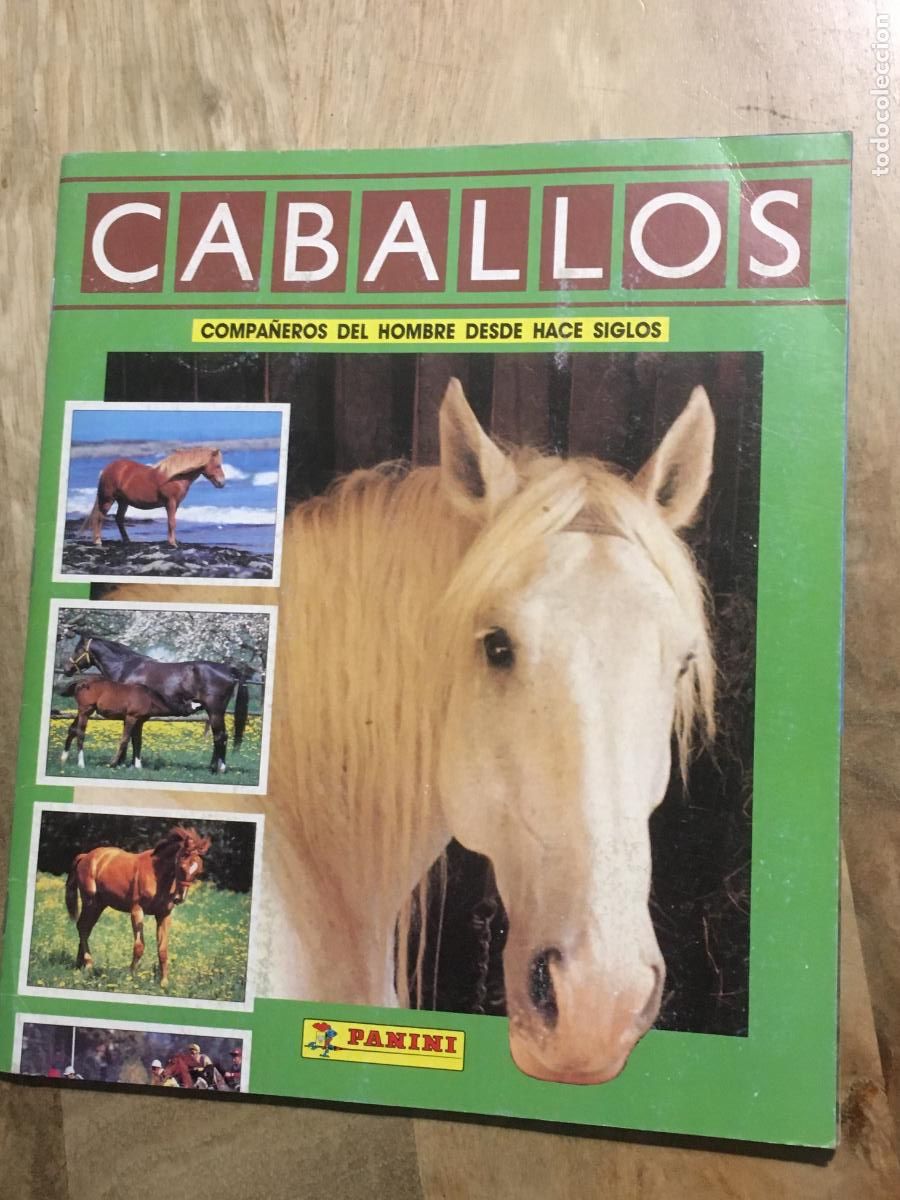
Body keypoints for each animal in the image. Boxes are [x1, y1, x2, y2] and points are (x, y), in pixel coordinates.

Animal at [64, 635, 249, 773]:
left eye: (78, 649)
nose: (66, 669)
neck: (127, 666)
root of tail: (229, 670)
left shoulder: (129, 713)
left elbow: (128, 737)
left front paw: (120, 763)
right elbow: (135, 738)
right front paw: (131, 764)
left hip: (215, 711)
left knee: (220, 736)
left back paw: (218, 769)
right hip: (215, 712)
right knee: (220, 736)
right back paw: (214, 767)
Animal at [65, 826, 211, 988]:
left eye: (198, 871)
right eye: (181, 866)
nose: (179, 898)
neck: (157, 875)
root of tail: (86, 856)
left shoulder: (163, 915)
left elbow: (163, 949)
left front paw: (164, 983)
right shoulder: (137, 911)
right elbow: (139, 946)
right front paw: (130, 978)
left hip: (99, 905)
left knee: (85, 928)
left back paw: (80, 965)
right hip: (90, 902)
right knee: (83, 928)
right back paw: (89, 965)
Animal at [82, 446, 226, 548]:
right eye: (218, 465)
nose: (222, 483)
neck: (174, 477)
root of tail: (107, 469)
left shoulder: (175, 504)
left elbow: (172, 522)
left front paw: (173, 541)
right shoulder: (170, 503)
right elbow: (172, 522)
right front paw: (173, 543)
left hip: (123, 502)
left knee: (119, 518)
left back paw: (127, 540)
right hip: (108, 499)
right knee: (99, 517)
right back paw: (98, 541)